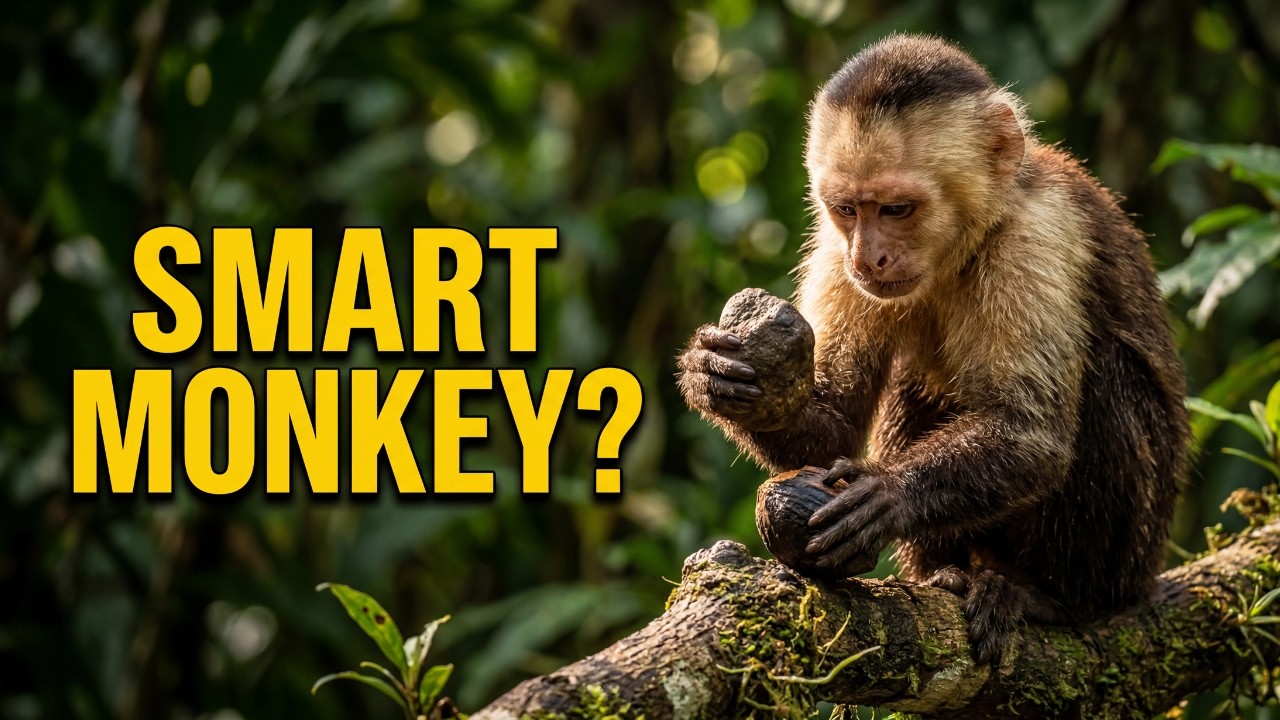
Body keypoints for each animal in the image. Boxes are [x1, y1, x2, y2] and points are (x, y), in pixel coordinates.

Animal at [676, 34, 1188, 665]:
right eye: (848, 209)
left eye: (897, 209)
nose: (869, 257)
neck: (965, 244)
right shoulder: (835, 250)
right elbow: (833, 431)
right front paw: (731, 377)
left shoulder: (1036, 235)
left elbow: (1030, 432)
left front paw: (890, 496)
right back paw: (946, 573)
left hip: (1136, 556)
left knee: (1106, 380)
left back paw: (1057, 599)